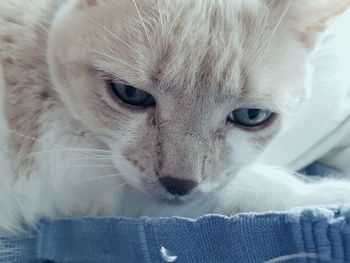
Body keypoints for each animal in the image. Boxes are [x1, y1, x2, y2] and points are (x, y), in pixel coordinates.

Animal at [0, 0, 348, 237]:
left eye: (251, 116)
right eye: (130, 93)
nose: (179, 183)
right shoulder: (71, 171)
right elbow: (256, 186)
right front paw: (330, 195)